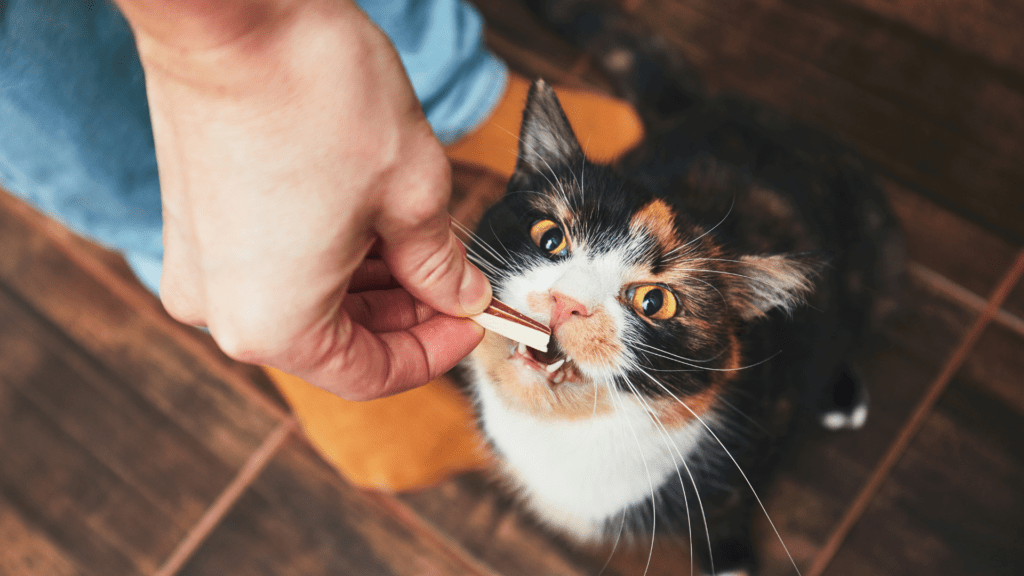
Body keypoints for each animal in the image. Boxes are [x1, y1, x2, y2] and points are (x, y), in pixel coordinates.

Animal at [460, 75, 901, 569]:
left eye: (654, 301)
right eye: (551, 237)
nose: (566, 301)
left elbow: (727, 512)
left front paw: (731, 563)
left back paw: (842, 395)